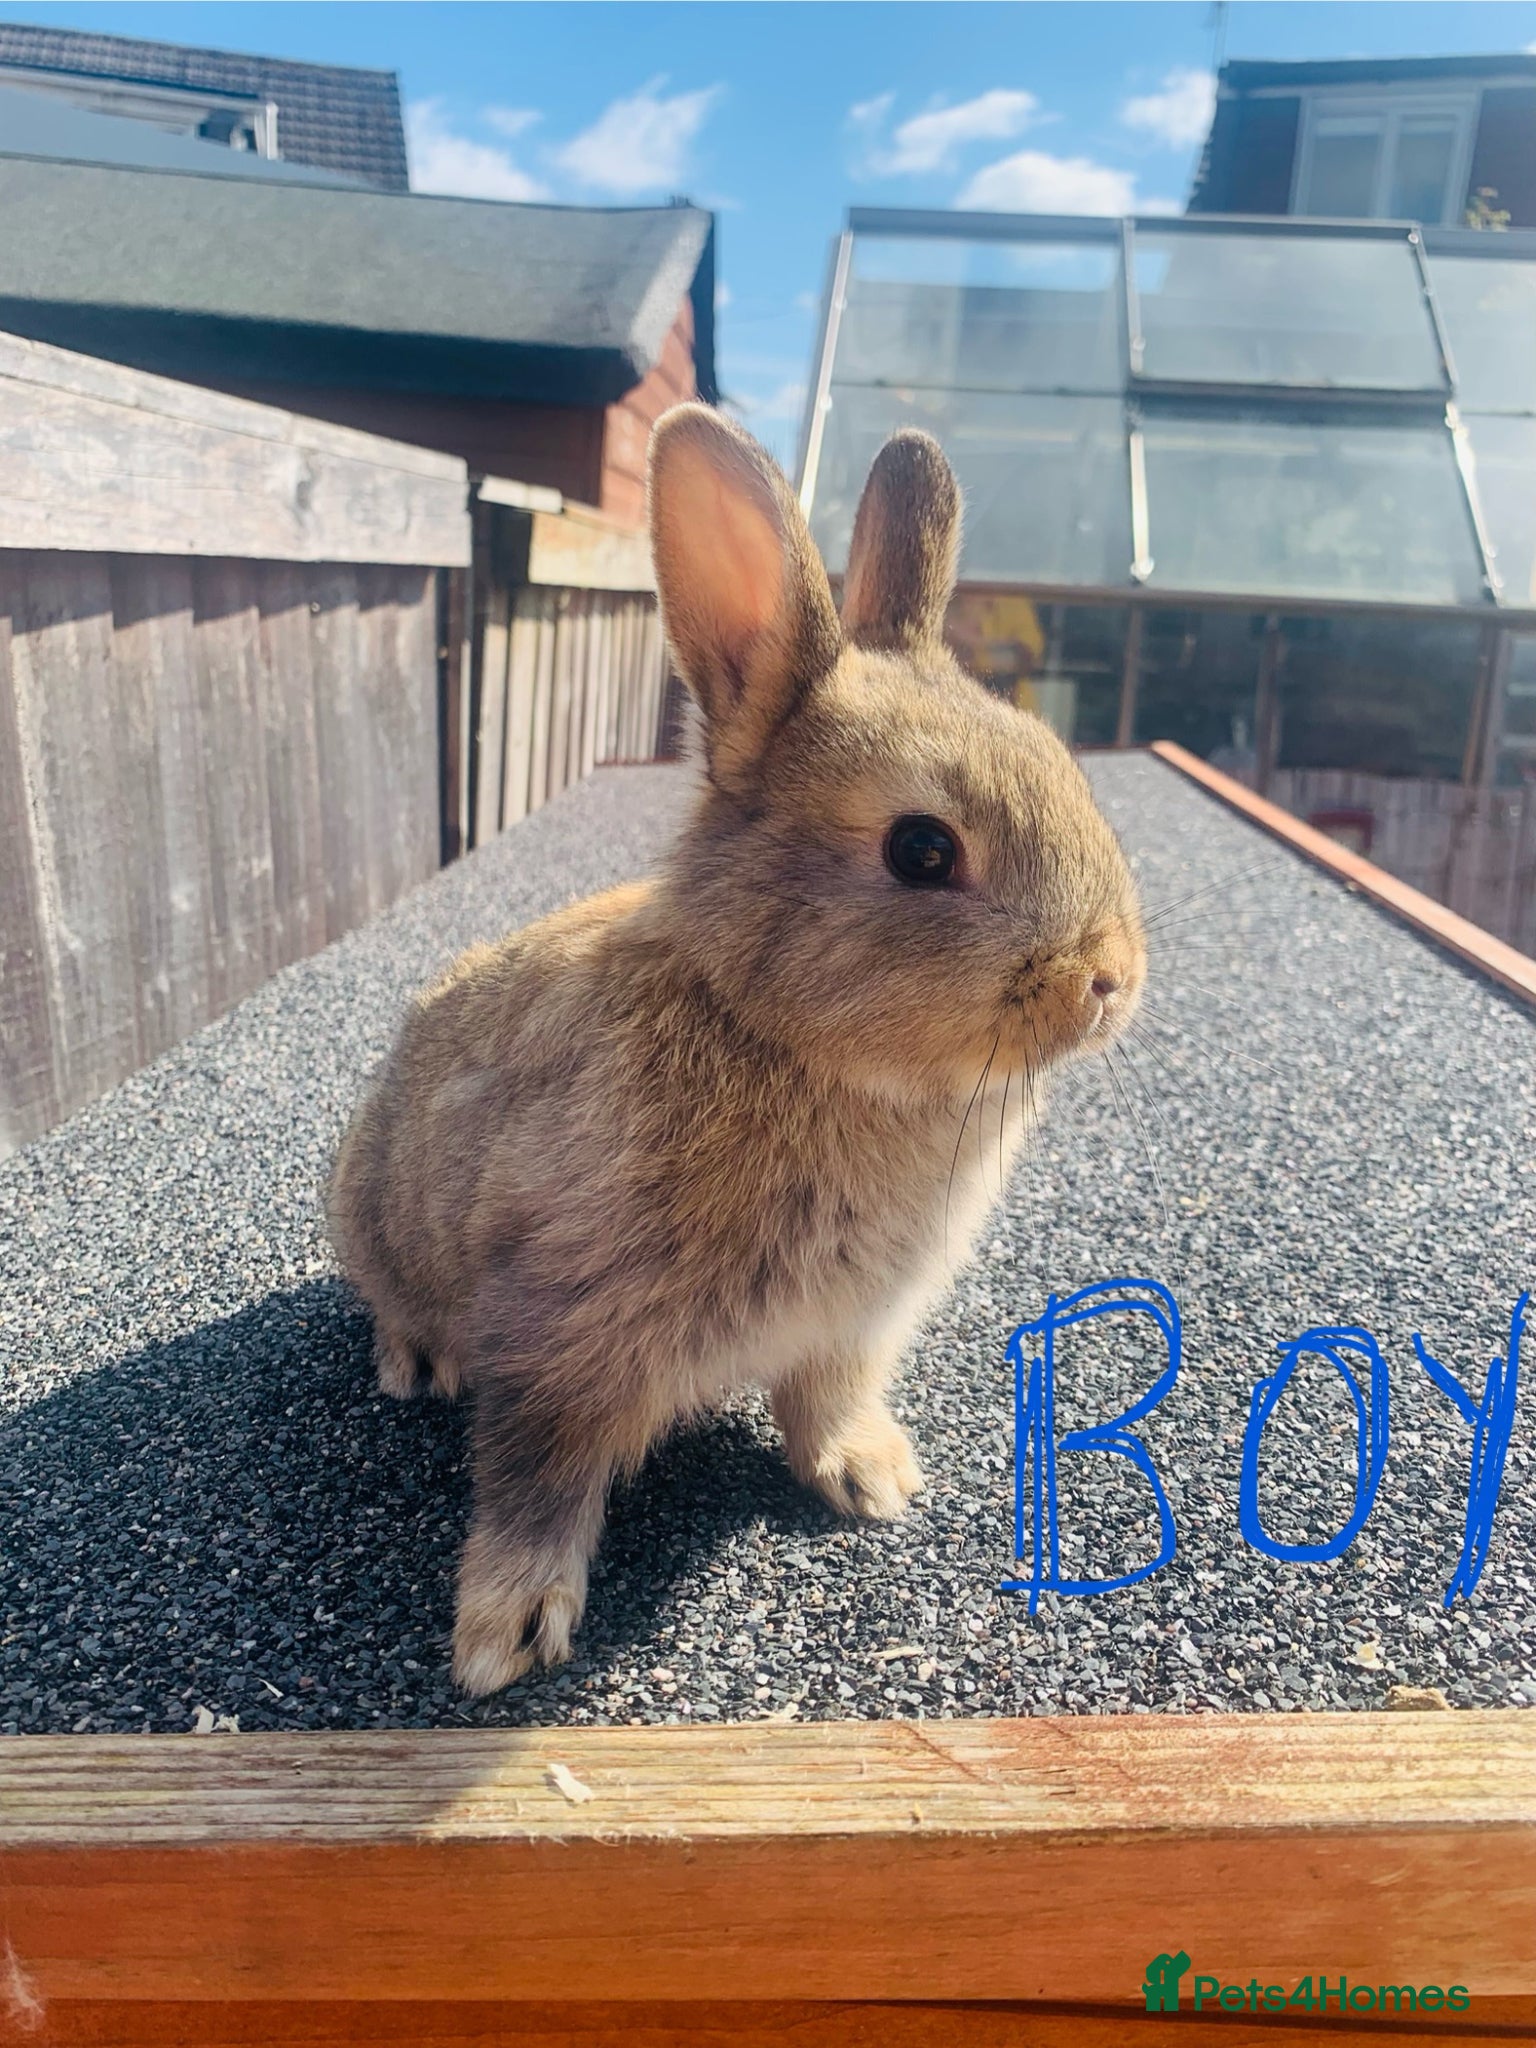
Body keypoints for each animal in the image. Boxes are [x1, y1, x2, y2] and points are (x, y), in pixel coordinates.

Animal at [328, 404, 1146, 1696]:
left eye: (1061, 762)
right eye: (921, 849)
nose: (1109, 979)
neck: (783, 1034)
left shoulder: (852, 1327)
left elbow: (825, 1403)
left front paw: (872, 1476)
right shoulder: (557, 1333)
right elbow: (534, 1479)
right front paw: (505, 1629)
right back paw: (416, 1360)